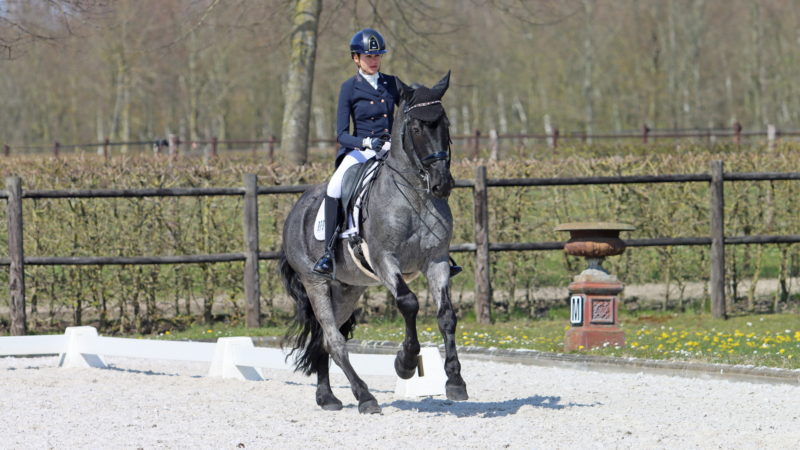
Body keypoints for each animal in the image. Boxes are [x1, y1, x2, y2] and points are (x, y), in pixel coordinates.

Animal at [278, 72, 468, 414]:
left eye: (445, 124)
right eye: (416, 129)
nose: (442, 184)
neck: (414, 198)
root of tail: (296, 209)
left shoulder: (436, 260)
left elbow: (447, 315)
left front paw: (455, 381)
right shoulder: (384, 259)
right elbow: (408, 303)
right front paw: (405, 363)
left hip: (346, 289)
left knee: (324, 339)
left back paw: (327, 397)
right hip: (316, 283)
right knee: (334, 339)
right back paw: (364, 396)